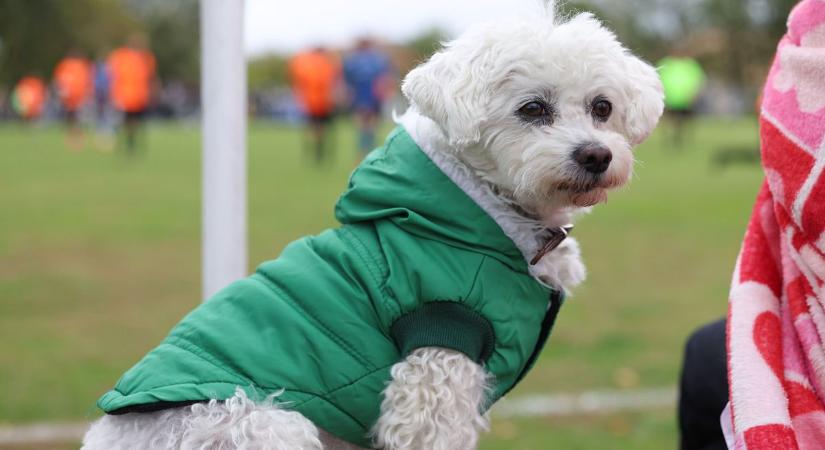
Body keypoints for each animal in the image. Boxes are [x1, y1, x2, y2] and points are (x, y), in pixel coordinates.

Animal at [82, 7, 664, 450]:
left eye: (602, 107)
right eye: (532, 109)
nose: (596, 154)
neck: (484, 211)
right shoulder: (435, 364)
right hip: (260, 424)